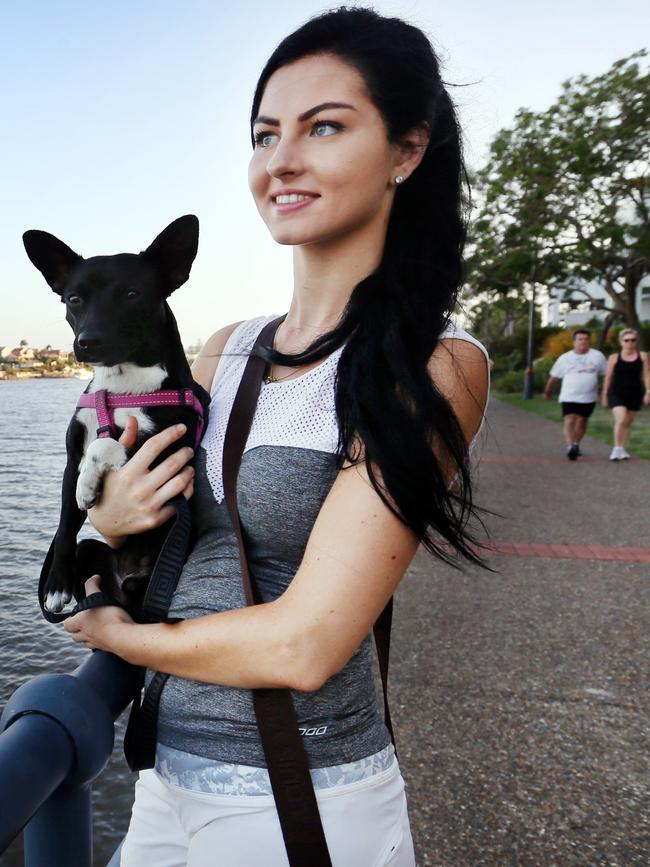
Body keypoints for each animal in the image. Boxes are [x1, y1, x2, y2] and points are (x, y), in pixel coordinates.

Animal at [22, 217, 209, 616]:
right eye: (74, 299)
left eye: (132, 294)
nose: (88, 342)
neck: (121, 388)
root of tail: (129, 581)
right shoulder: (70, 459)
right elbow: (65, 526)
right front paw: (56, 585)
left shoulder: (167, 449)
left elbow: (108, 444)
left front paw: (90, 481)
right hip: (93, 556)